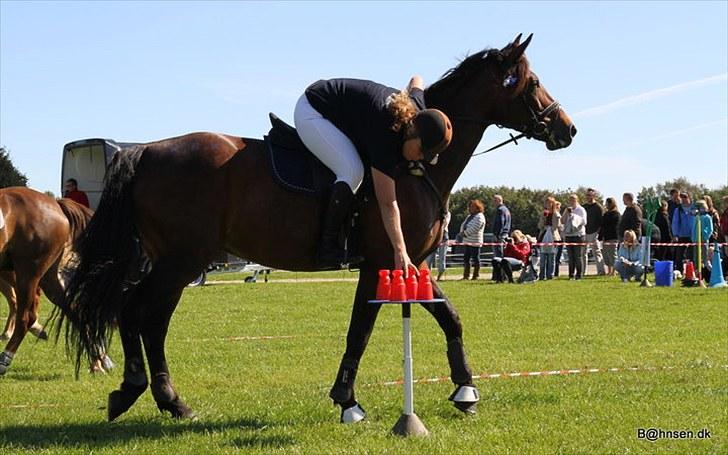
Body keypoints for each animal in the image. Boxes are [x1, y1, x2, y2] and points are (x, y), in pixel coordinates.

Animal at [0, 187, 113, 376]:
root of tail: (56, 204)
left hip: (28, 271)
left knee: (26, 316)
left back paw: (4, 360)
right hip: (47, 276)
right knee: (74, 311)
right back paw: (96, 362)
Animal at [61, 33, 576, 422]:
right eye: (531, 82)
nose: (567, 130)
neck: (414, 165)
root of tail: (145, 151)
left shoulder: (407, 264)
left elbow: (449, 317)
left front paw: (465, 391)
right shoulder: (383, 261)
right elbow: (360, 331)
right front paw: (348, 402)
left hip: (176, 262)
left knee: (148, 319)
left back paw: (165, 400)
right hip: (181, 260)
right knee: (137, 313)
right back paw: (143, 392)